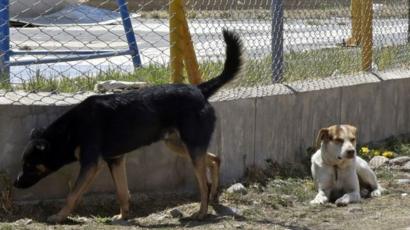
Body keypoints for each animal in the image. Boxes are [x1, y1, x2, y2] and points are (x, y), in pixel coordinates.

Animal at [13, 30, 243, 223]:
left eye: (30, 165)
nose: (15, 184)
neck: (70, 130)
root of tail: (199, 90)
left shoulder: (91, 164)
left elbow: (73, 195)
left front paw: (59, 216)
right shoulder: (115, 160)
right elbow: (122, 192)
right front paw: (123, 216)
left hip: (190, 147)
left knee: (203, 183)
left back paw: (202, 211)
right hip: (178, 145)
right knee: (214, 159)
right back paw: (214, 196)